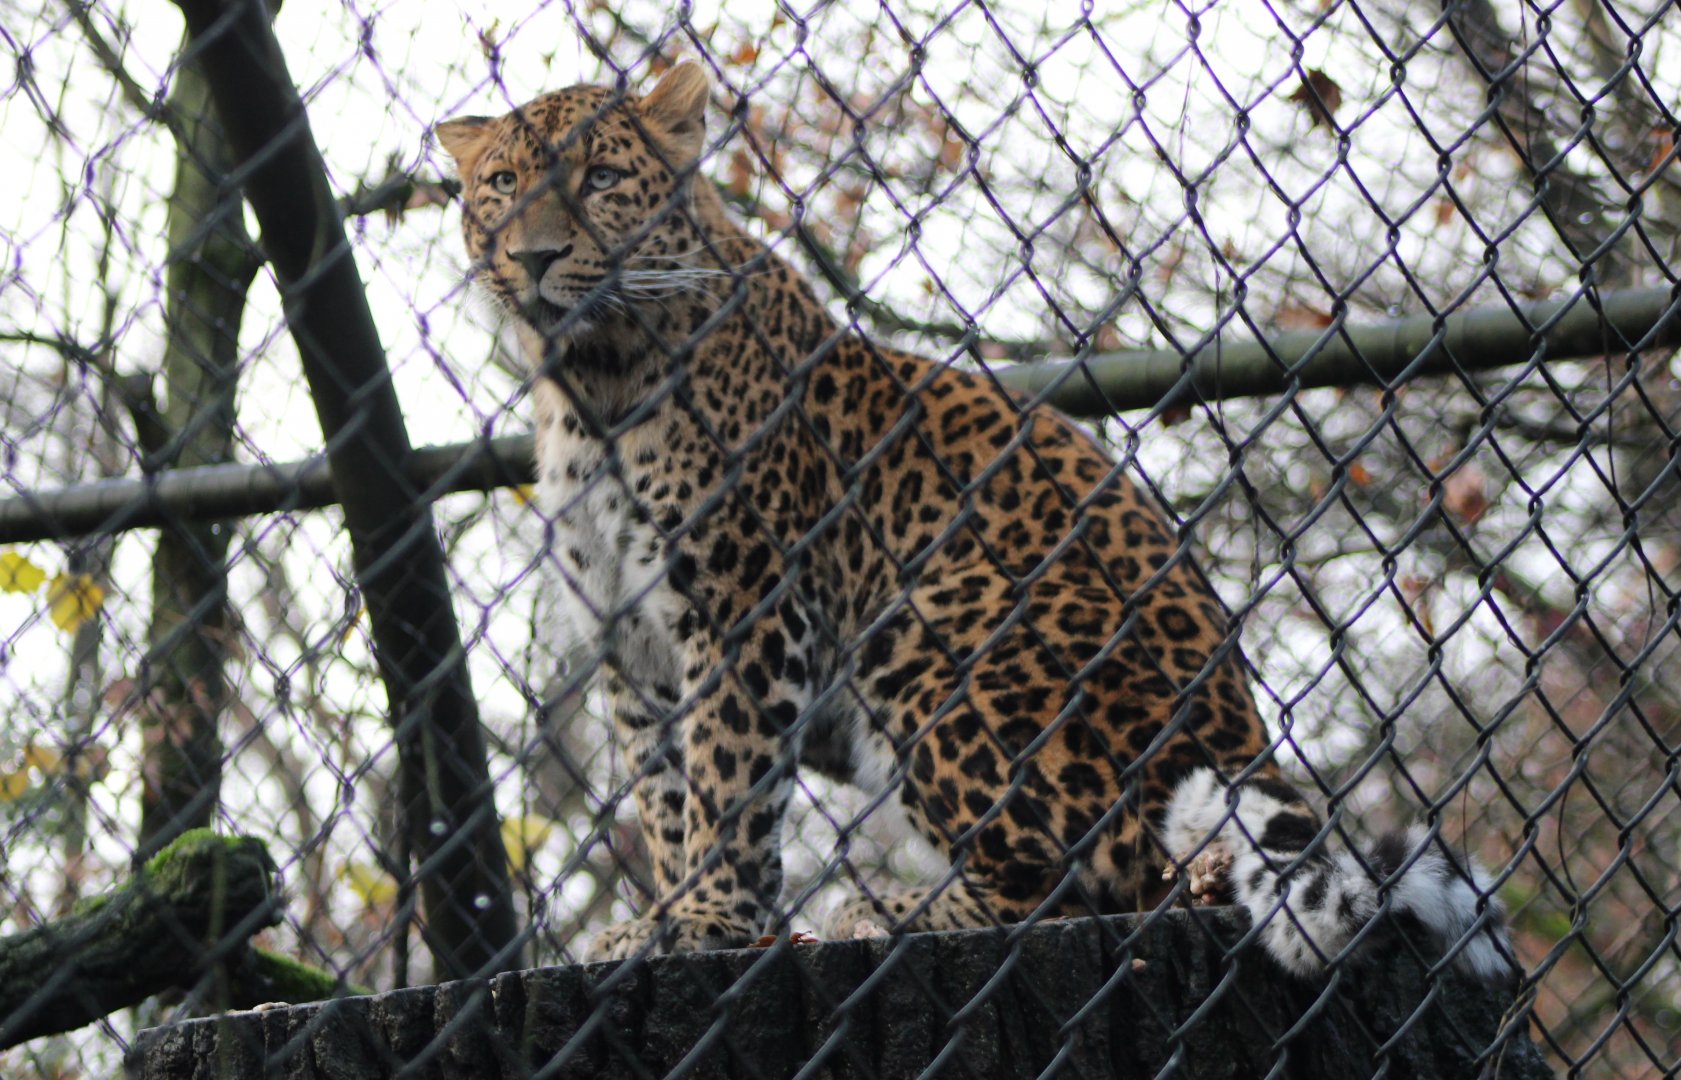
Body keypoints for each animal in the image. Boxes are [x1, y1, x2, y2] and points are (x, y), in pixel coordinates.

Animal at [435, 61, 1511, 983]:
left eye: (601, 176)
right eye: (501, 184)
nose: (531, 256)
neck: (590, 385)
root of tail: (1238, 743)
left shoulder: (745, 602)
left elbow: (726, 778)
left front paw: (708, 921)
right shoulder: (633, 640)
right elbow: (665, 796)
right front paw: (657, 920)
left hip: (935, 638)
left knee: (1093, 884)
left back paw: (894, 911)